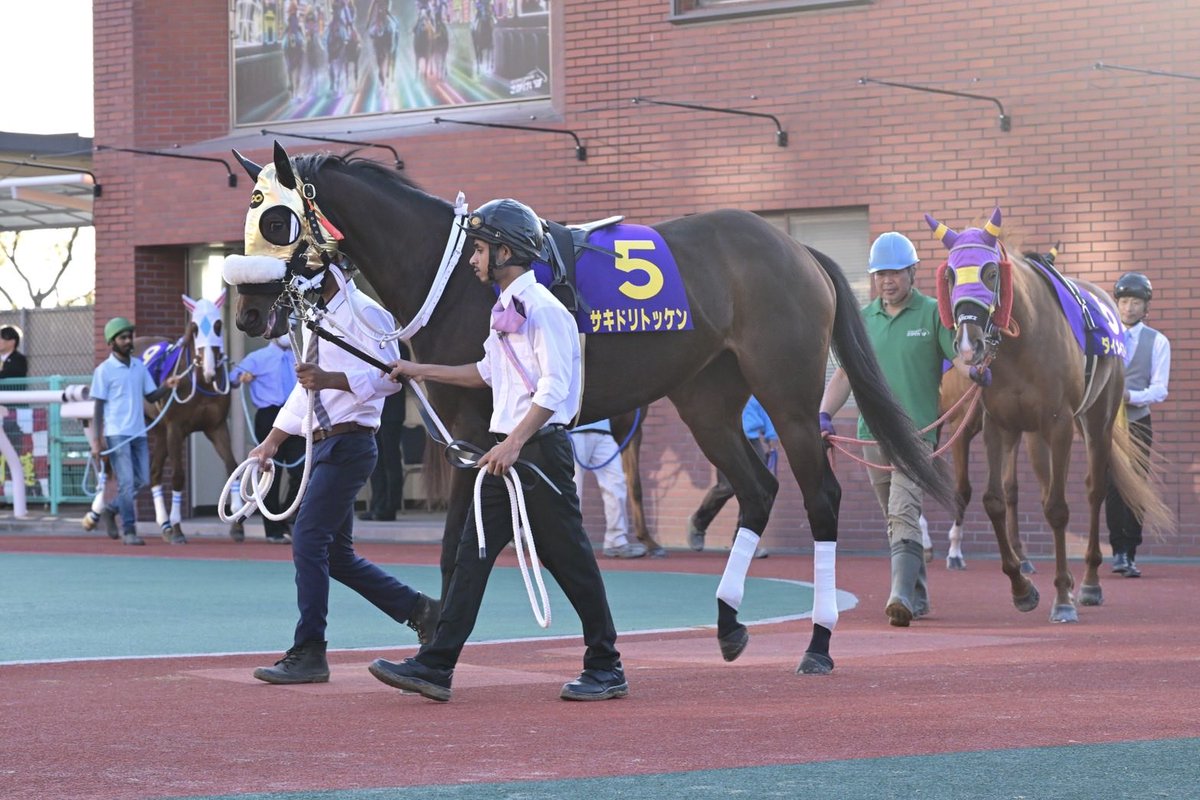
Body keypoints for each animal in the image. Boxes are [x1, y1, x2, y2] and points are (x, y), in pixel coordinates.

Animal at [136, 292, 245, 544]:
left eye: (218, 325)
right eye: (195, 328)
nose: (210, 370)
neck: (201, 381)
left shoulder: (216, 426)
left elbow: (232, 465)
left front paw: (236, 524)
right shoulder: (175, 428)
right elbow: (178, 476)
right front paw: (178, 528)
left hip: (159, 430)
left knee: (154, 472)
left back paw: (164, 525)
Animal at [224, 142, 951, 674]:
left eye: (277, 219)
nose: (250, 312)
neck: (453, 273)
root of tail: (796, 248)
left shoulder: (475, 429)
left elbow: (462, 546)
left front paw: (436, 638)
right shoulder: (477, 434)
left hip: (790, 398)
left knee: (820, 497)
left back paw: (818, 645)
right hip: (707, 399)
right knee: (757, 489)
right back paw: (727, 622)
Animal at [925, 207, 1171, 622]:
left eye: (991, 273)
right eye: (950, 276)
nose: (968, 343)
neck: (1021, 344)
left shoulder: (1057, 424)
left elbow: (1057, 507)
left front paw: (1062, 598)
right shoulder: (998, 425)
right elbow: (994, 499)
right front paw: (1022, 588)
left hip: (1096, 420)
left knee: (1094, 490)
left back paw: (1088, 582)